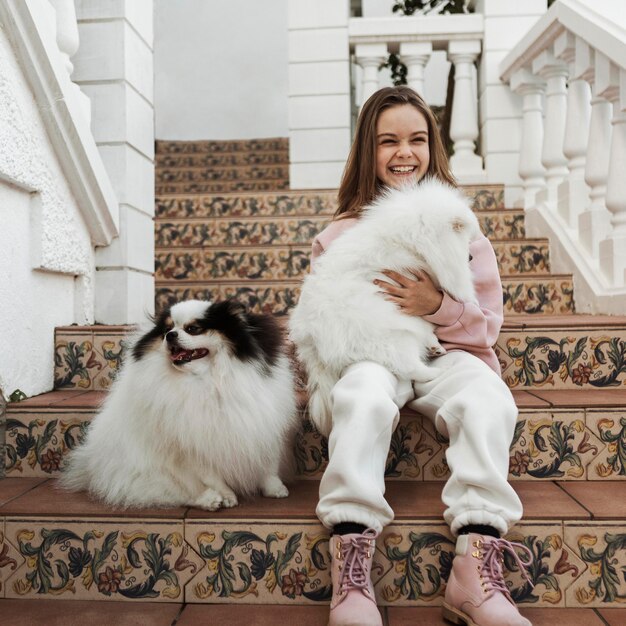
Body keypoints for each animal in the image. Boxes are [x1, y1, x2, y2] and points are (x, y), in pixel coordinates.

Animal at [62, 298, 296, 508]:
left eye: (193, 329)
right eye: (167, 329)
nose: (170, 335)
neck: (208, 379)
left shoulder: (263, 422)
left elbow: (268, 463)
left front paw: (275, 488)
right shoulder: (191, 443)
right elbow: (212, 475)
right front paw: (227, 496)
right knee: (170, 491)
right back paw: (209, 500)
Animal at [288, 178, 478, 434]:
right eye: (465, 239)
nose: (471, 258)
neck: (410, 238)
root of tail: (310, 340)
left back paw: (435, 348)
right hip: (394, 335)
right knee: (409, 366)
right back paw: (436, 371)